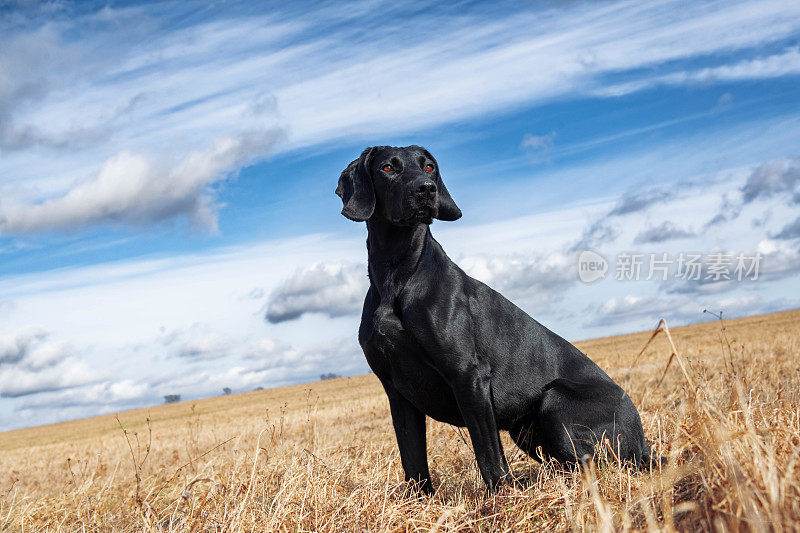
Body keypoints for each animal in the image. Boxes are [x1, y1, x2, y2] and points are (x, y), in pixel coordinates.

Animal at [334, 144, 652, 490]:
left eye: (429, 167)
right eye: (388, 168)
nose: (426, 190)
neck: (397, 274)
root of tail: (644, 443)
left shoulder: (468, 376)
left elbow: (489, 455)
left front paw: (502, 496)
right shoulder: (398, 392)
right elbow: (413, 463)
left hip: (553, 401)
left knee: (590, 464)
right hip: (526, 431)